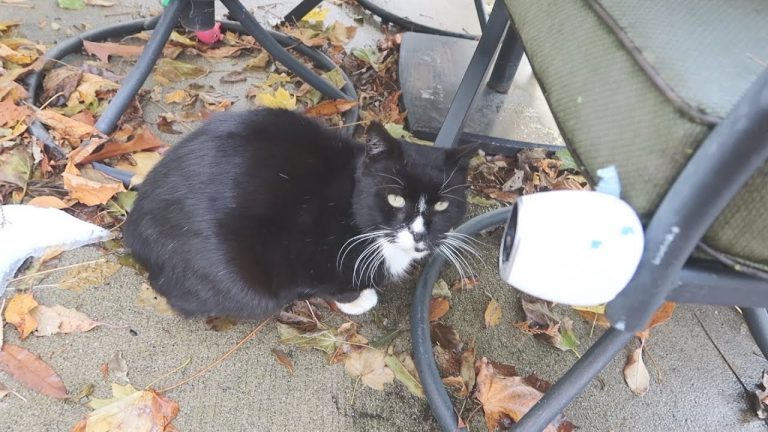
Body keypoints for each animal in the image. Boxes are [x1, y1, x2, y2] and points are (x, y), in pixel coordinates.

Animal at [124, 108, 477, 319]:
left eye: (443, 205)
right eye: (395, 198)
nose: (420, 235)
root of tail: (134, 228)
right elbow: (327, 283)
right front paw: (358, 298)